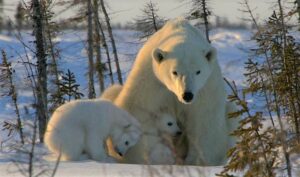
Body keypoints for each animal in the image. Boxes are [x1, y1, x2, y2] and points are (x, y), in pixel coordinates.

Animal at [110, 18, 237, 165]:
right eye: (175, 72)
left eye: (198, 71)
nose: (187, 95)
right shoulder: (152, 79)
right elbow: (139, 110)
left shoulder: (205, 88)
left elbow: (204, 121)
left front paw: (198, 161)